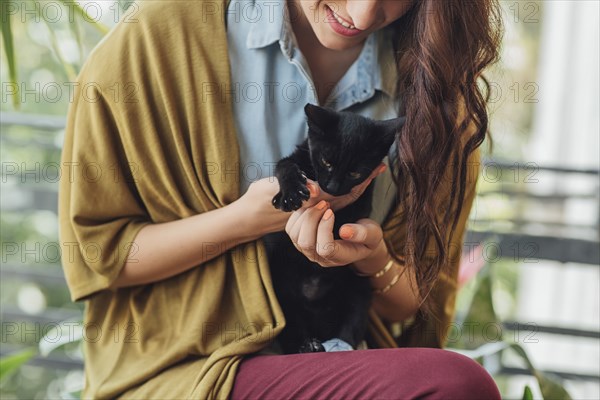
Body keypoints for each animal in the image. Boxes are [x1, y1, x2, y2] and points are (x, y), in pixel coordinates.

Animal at [264, 103, 406, 354]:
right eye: (326, 162)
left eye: (355, 173)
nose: (331, 187)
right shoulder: (296, 156)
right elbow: (284, 166)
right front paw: (289, 194)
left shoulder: (362, 198)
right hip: (282, 298)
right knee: (292, 334)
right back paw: (307, 346)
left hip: (359, 288)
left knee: (351, 325)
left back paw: (334, 346)